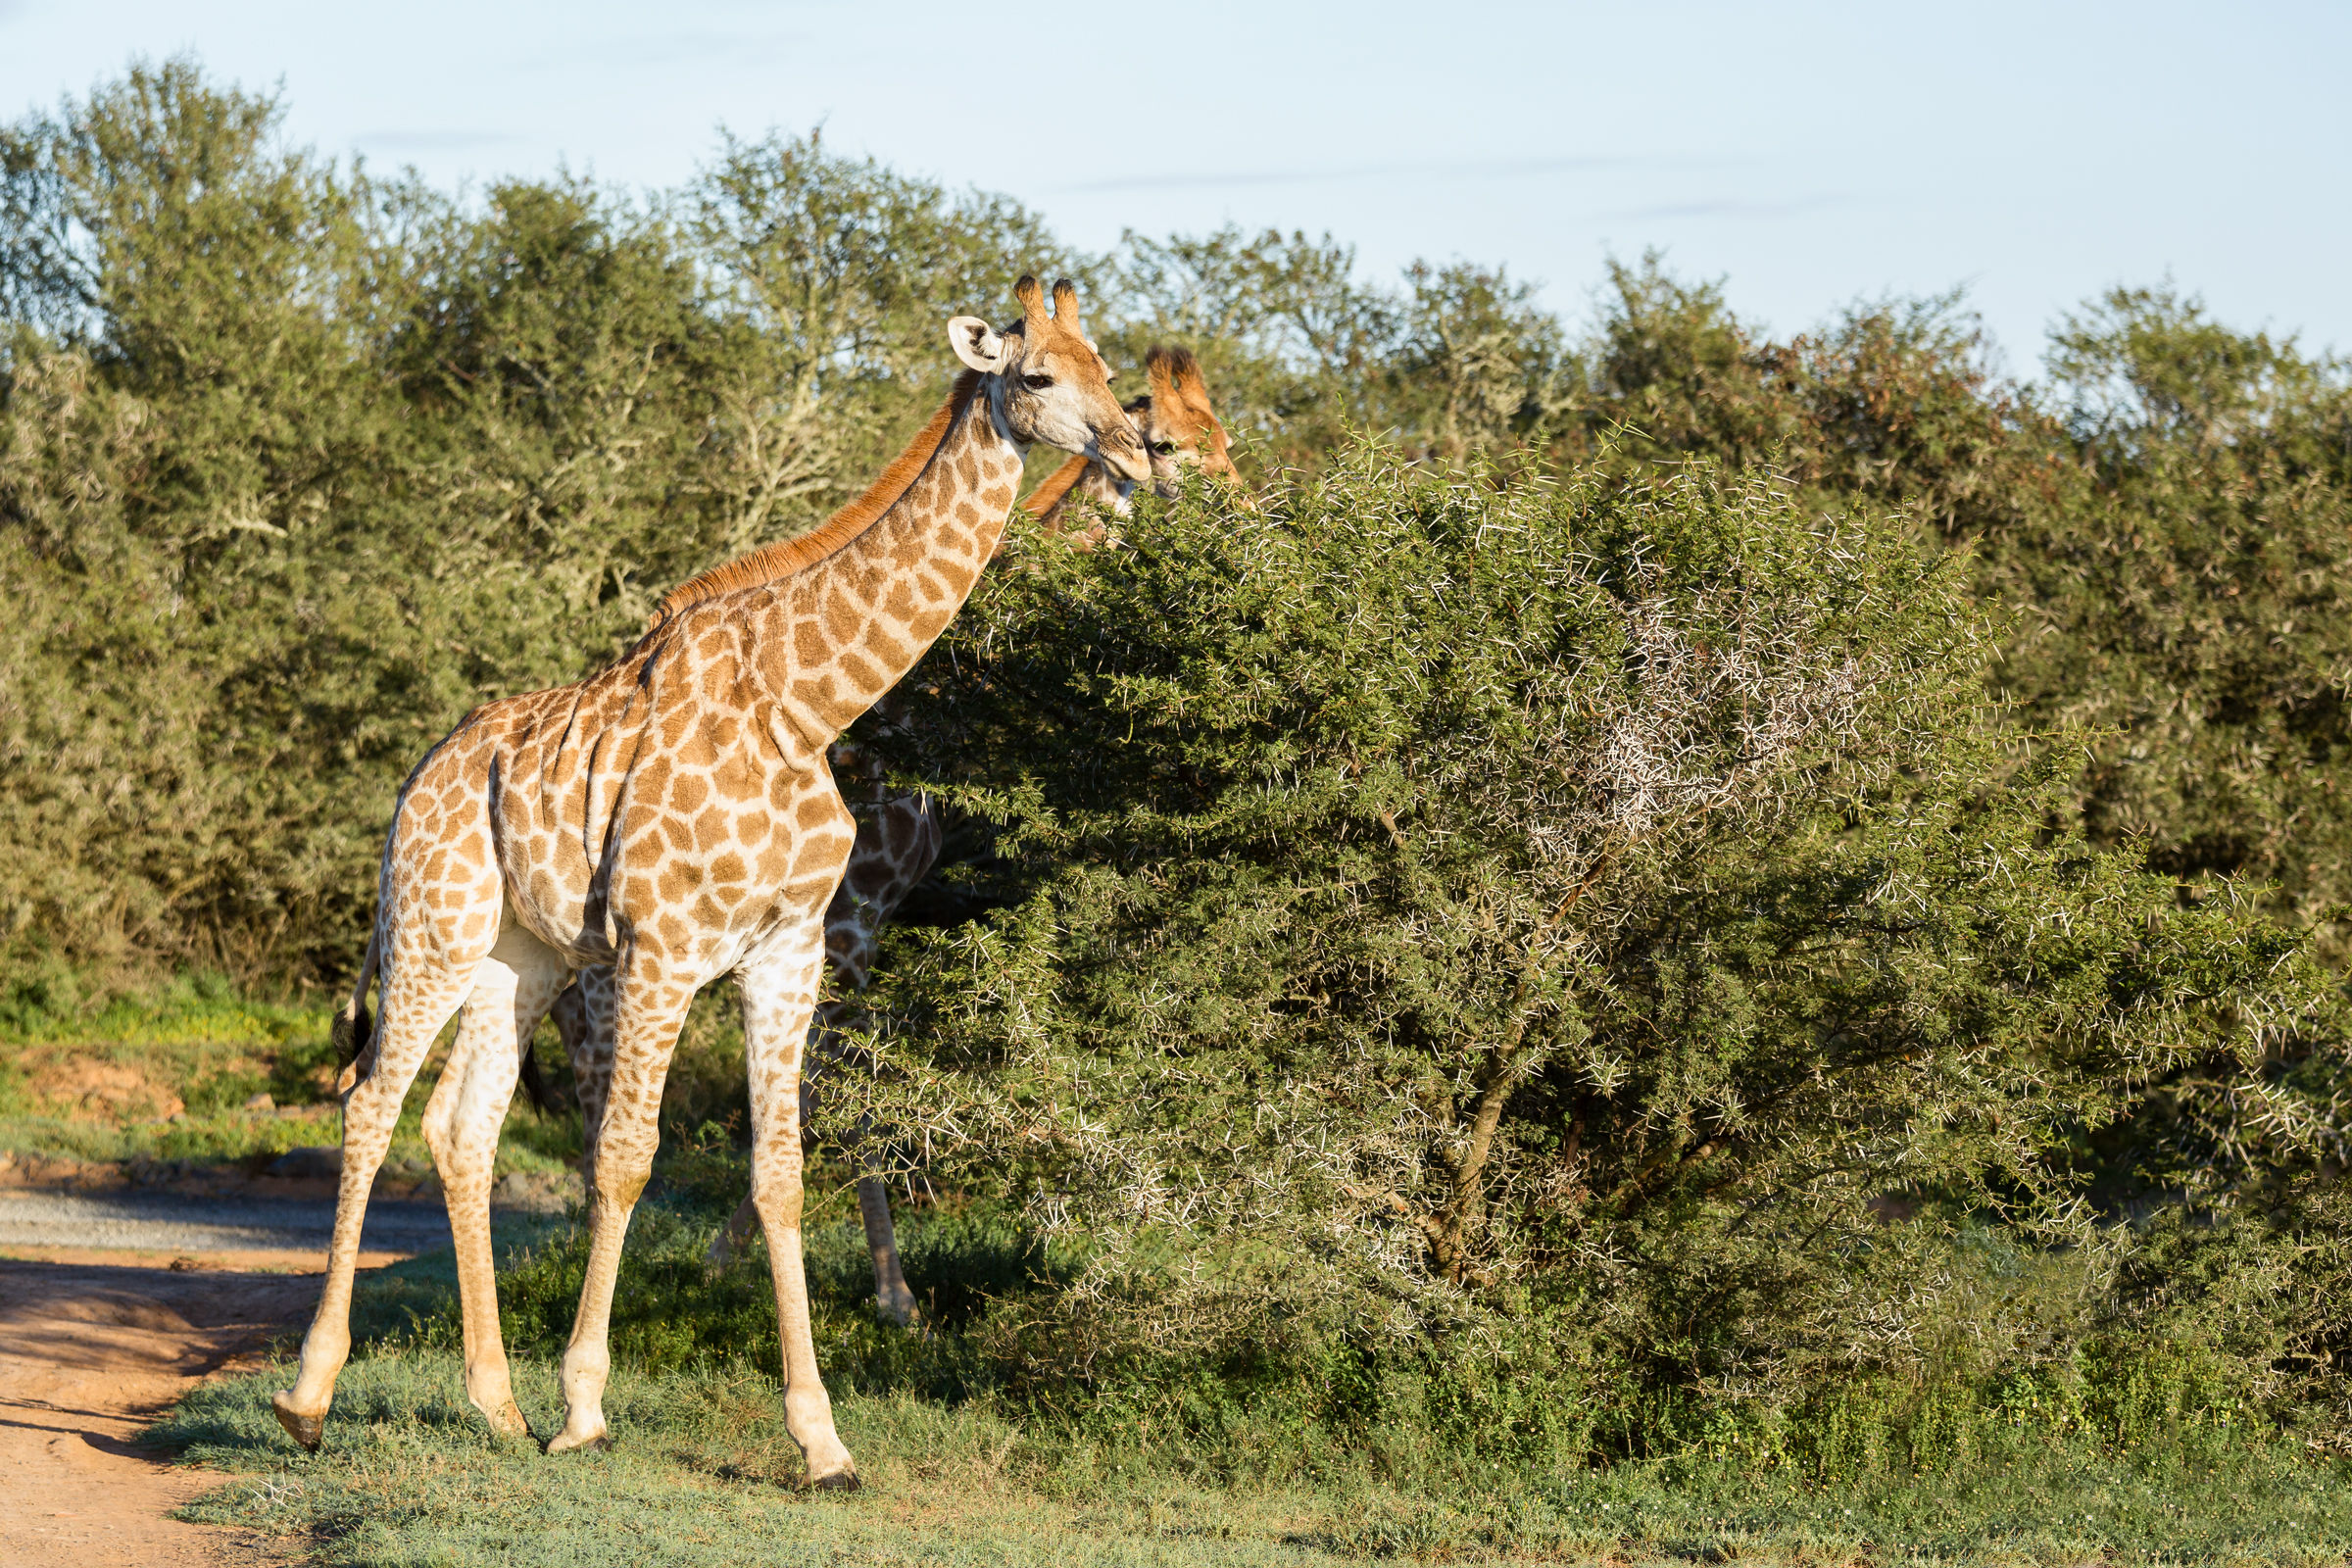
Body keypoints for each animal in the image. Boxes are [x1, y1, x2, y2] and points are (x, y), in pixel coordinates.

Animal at [275, 276, 1145, 1485]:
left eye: (1109, 365)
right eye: (1040, 375)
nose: (1134, 446)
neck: (805, 705)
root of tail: (417, 777)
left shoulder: (788, 953)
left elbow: (780, 1169)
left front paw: (822, 1439)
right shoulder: (662, 949)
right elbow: (625, 1157)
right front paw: (585, 1408)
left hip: (519, 957)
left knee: (463, 1125)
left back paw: (494, 1406)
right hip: (434, 925)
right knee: (370, 1104)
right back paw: (310, 1396)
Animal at [542, 345, 1247, 1324]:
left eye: (1229, 440)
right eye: (1172, 445)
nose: (1254, 521)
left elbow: (815, 1087)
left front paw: (736, 1253)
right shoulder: (854, 918)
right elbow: (843, 1089)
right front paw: (888, 1290)